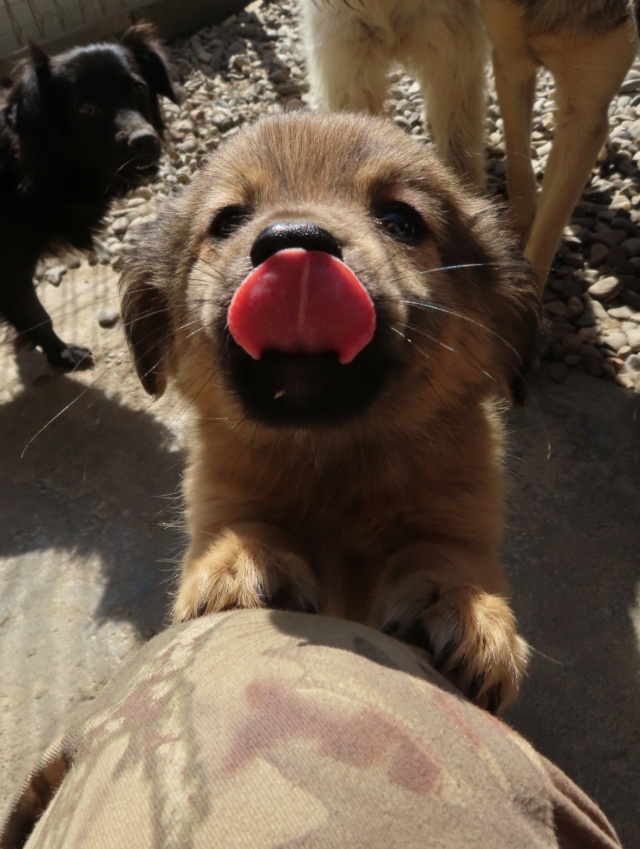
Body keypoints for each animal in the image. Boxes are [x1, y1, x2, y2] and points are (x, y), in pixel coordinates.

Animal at [0, 21, 180, 368]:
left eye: (138, 89)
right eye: (85, 107)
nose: (145, 141)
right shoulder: (9, 269)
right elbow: (37, 315)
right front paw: (61, 353)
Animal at [119, 111, 540, 708]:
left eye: (401, 220)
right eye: (226, 221)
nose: (295, 240)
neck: (331, 459)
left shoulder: (459, 518)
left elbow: (443, 555)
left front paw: (463, 606)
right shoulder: (223, 498)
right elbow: (248, 526)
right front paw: (242, 563)